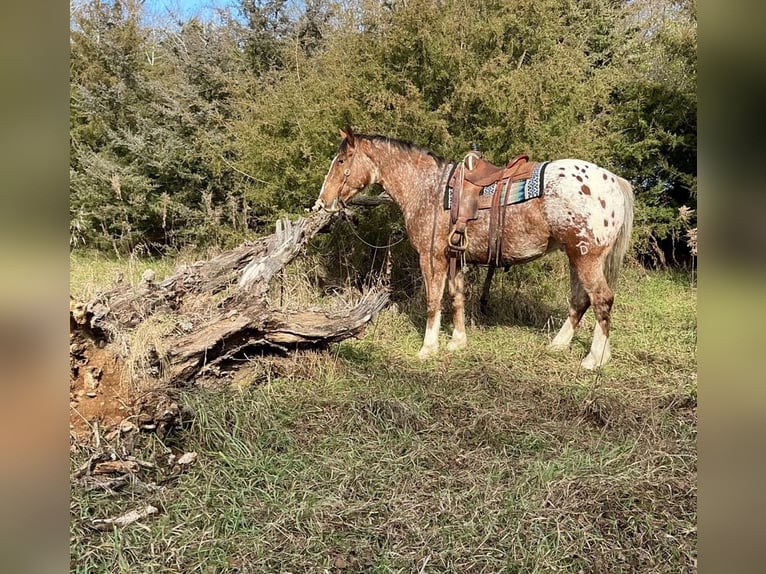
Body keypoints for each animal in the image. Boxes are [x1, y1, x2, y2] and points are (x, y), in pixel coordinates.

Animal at [312, 127, 636, 368]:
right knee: (580, 300)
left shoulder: (431, 258)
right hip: (574, 255)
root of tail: (612, 180)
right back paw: (558, 345)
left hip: (586, 257)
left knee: (602, 300)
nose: (322, 202)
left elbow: (433, 301)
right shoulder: (455, 256)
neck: (429, 189)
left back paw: (595, 358)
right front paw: (457, 342)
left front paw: (428, 348)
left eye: (341, 162)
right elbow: (456, 298)